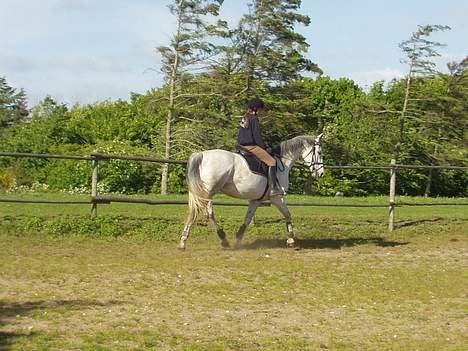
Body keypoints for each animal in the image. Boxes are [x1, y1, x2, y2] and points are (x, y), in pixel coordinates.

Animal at [178, 135, 322, 250]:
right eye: (320, 152)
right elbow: (287, 214)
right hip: (208, 193)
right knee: (207, 214)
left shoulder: (256, 200)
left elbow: (247, 219)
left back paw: (183, 241)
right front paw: (291, 240)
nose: (320, 173)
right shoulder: (277, 197)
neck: (283, 162)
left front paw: (238, 239)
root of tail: (201, 154)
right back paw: (222, 239)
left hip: (200, 193)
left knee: (195, 212)